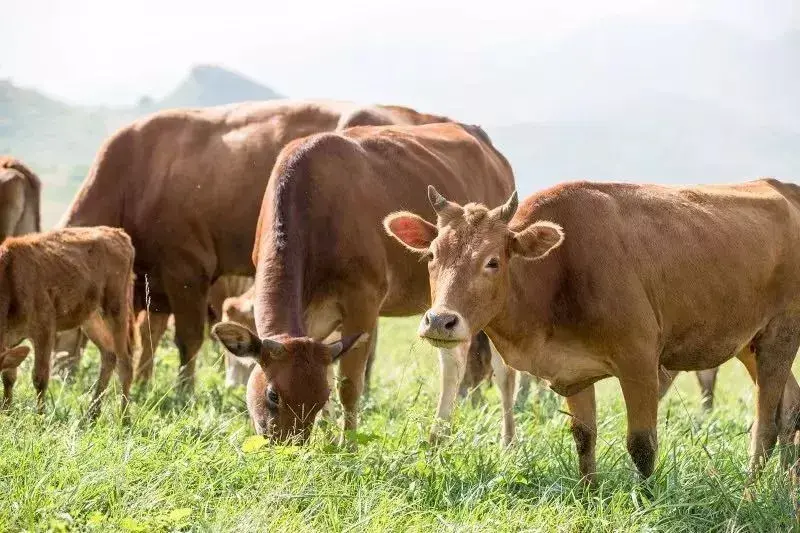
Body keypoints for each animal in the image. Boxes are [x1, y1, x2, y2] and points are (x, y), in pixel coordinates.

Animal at [0, 224, 137, 416]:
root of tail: (118, 233)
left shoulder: (45, 328)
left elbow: (40, 377)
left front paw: (40, 417)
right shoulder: (10, 338)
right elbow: (8, 377)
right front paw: (7, 412)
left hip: (116, 309)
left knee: (125, 363)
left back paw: (123, 417)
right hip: (91, 318)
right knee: (109, 355)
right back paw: (92, 413)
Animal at [59, 98, 454, 390]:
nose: (63, 377)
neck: (135, 175)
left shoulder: (187, 271)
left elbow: (187, 340)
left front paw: (183, 393)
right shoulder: (152, 284)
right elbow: (148, 336)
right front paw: (144, 385)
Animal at [209, 122, 516, 442]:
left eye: (316, 398)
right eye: (273, 395)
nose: (289, 447)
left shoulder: (363, 302)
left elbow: (349, 385)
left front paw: (348, 444)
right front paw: (329, 437)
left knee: (495, 370)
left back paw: (500, 439)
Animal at [382, 180, 800, 482]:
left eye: (493, 261)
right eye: (432, 254)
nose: (440, 321)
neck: (556, 272)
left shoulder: (640, 362)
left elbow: (642, 445)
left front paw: (646, 499)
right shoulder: (574, 371)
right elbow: (584, 439)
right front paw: (589, 494)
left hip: (780, 335)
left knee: (765, 425)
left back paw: (752, 491)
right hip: (750, 343)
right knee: (791, 406)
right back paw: (786, 483)